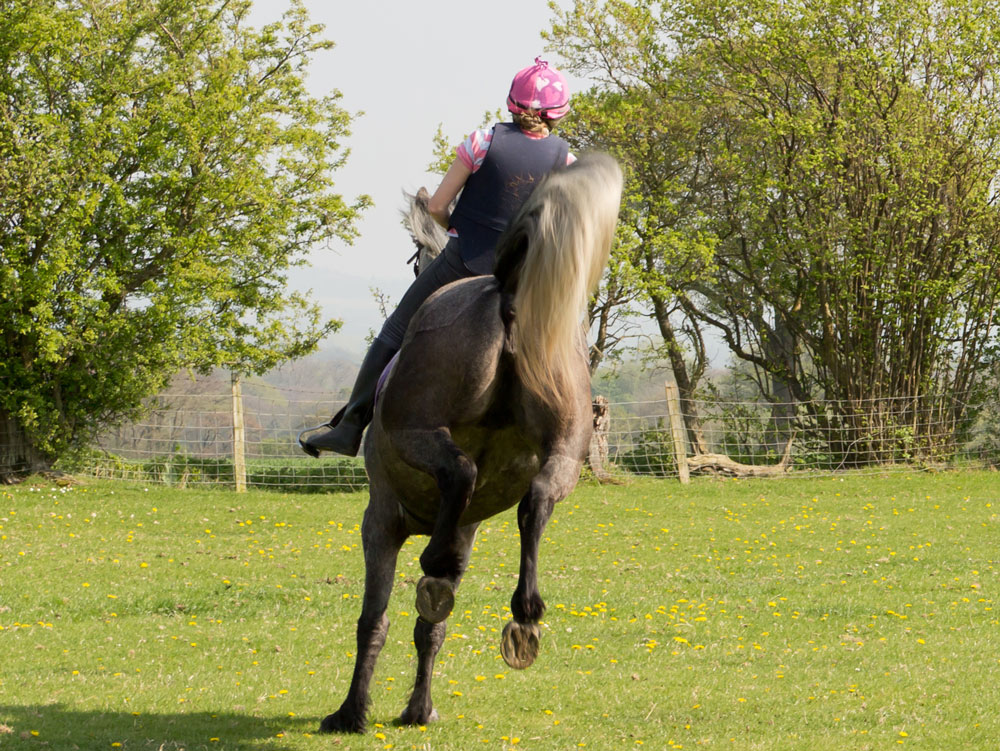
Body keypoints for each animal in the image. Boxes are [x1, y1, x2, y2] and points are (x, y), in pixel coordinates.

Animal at [320, 153, 623, 733]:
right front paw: (418, 708)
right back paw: (525, 613)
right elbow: (429, 627)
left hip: (416, 435)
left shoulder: (380, 520)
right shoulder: (465, 529)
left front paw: (351, 712)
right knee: (536, 502)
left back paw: (445, 569)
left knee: (460, 473)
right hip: (566, 453)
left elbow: (375, 620)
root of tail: (504, 292)